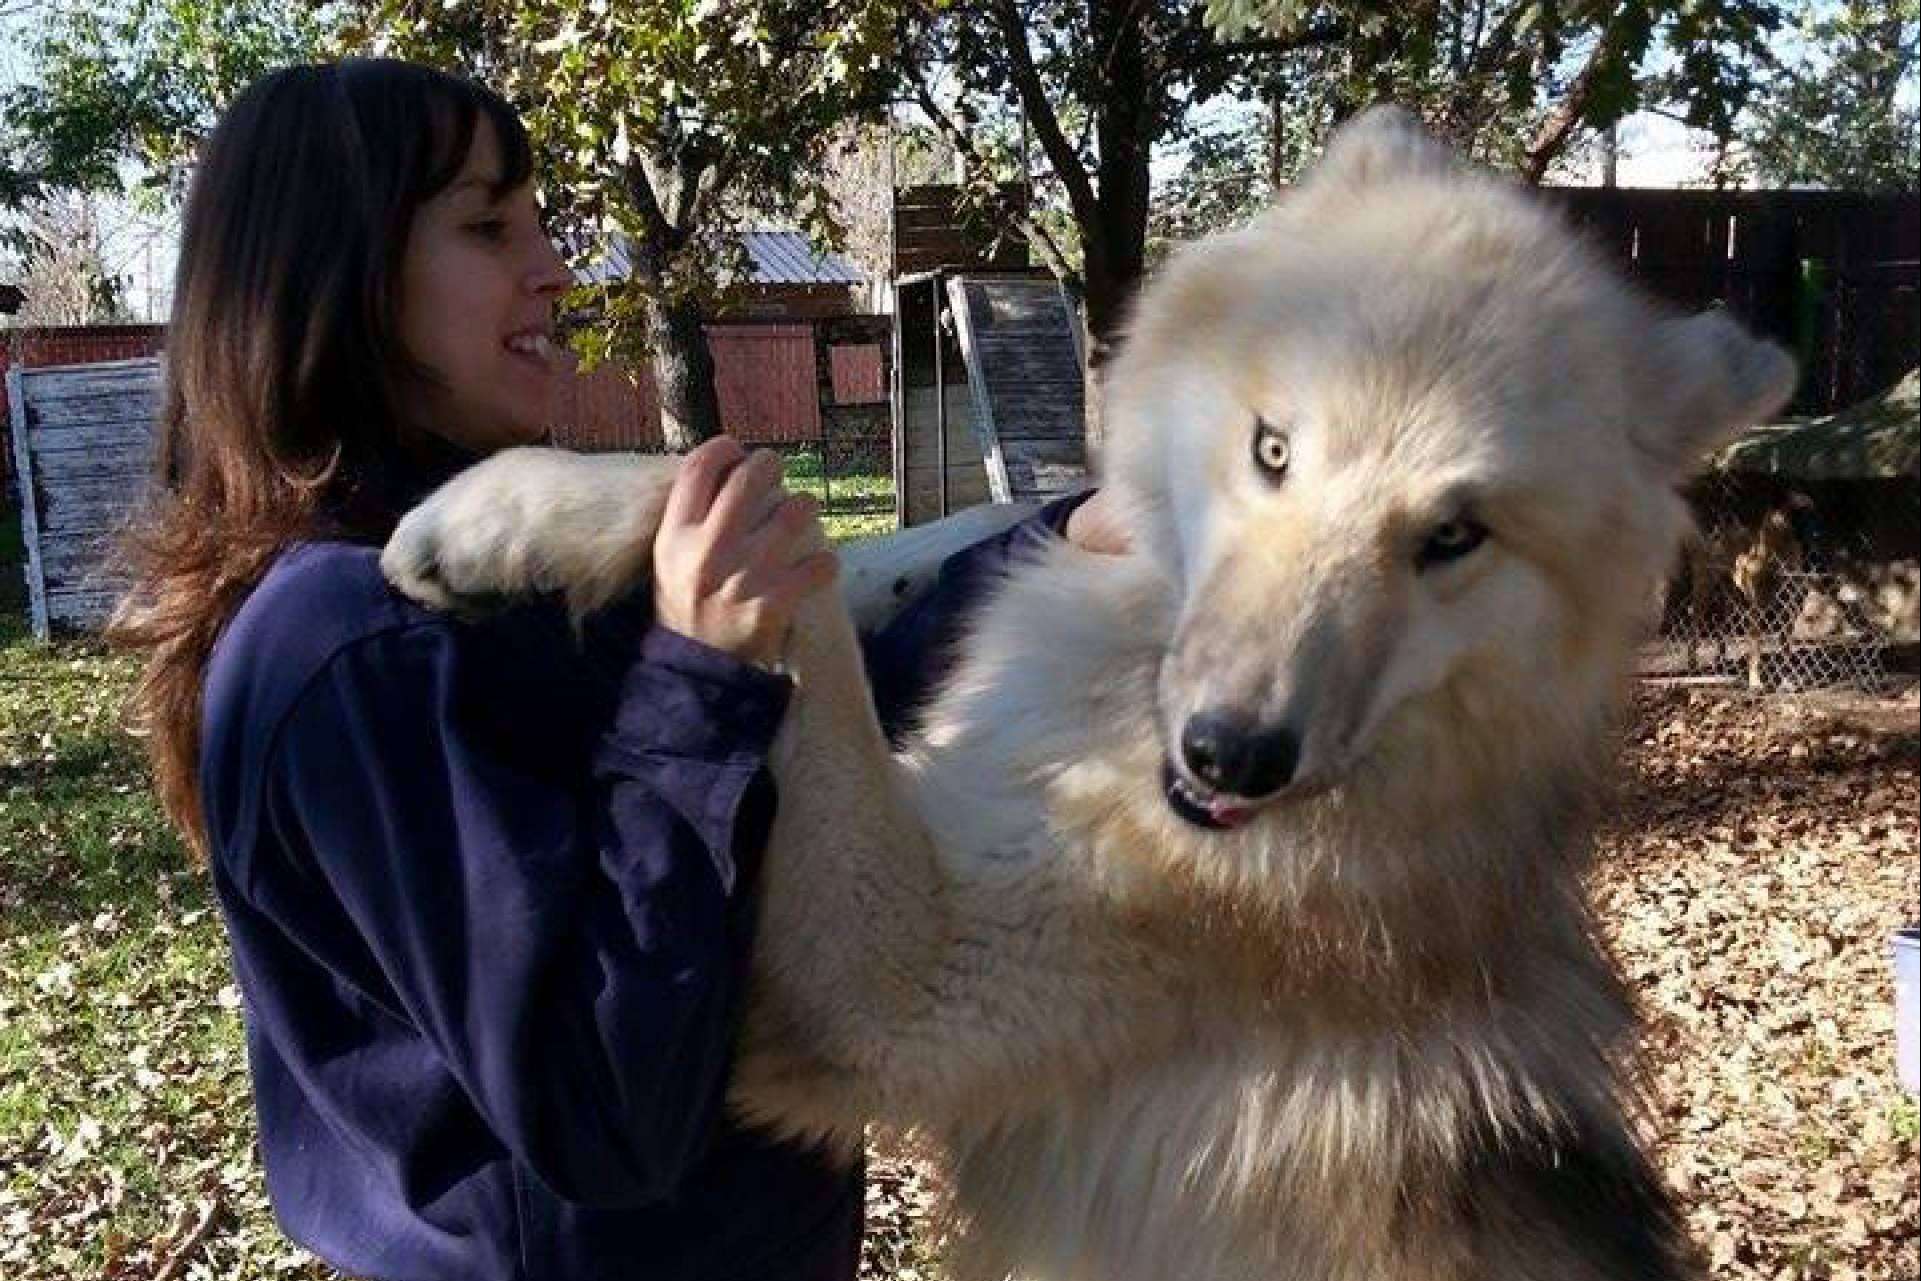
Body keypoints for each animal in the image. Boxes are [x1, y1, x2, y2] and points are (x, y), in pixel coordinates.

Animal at [380, 108, 1795, 1281]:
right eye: (1272, 450)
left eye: (1454, 537)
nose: (1233, 758)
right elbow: (880, 545)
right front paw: (507, 518)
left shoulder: (891, 992)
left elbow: (792, 546)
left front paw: (501, 508)